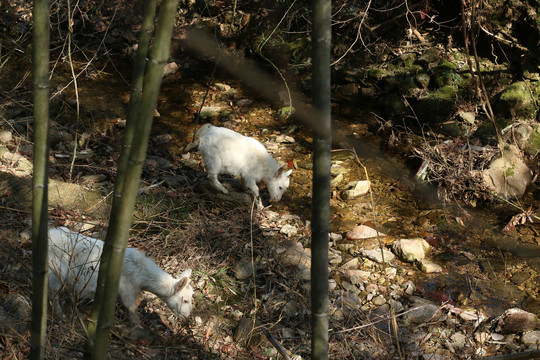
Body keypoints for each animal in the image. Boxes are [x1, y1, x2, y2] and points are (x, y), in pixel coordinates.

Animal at [47, 228, 193, 326]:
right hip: (55, 271)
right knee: (53, 294)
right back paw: (61, 316)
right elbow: (132, 307)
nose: (187, 317)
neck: (142, 271)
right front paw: (137, 326)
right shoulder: (126, 288)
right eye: (185, 300)